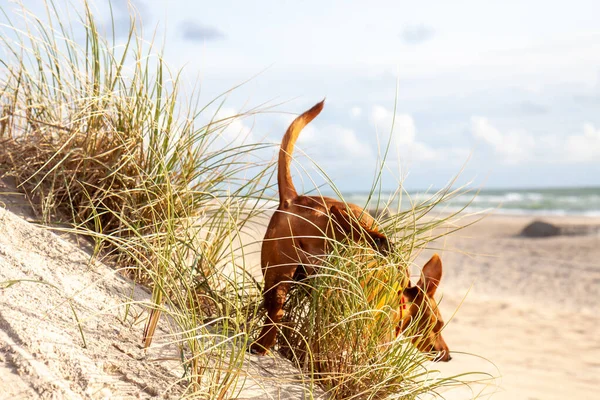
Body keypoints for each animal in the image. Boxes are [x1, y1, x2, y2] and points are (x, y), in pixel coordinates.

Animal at [248, 101, 450, 362]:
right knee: (353, 226)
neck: (402, 297)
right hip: (333, 229)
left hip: (281, 273)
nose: (448, 354)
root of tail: (295, 199)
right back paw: (379, 241)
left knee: (275, 312)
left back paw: (261, 345)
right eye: (439, 325)